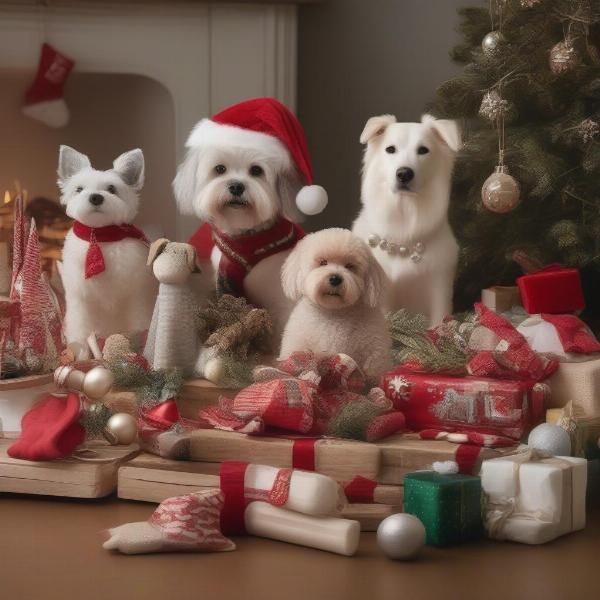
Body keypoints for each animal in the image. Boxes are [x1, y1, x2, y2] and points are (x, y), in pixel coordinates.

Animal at [56, 146, 157, 352]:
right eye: (79, 189)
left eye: (112, 189)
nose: (96, 197)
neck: (101, 238)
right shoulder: (80, 299)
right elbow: (80, 328)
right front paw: (79, 350)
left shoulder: (137, 295)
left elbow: (139, 323)